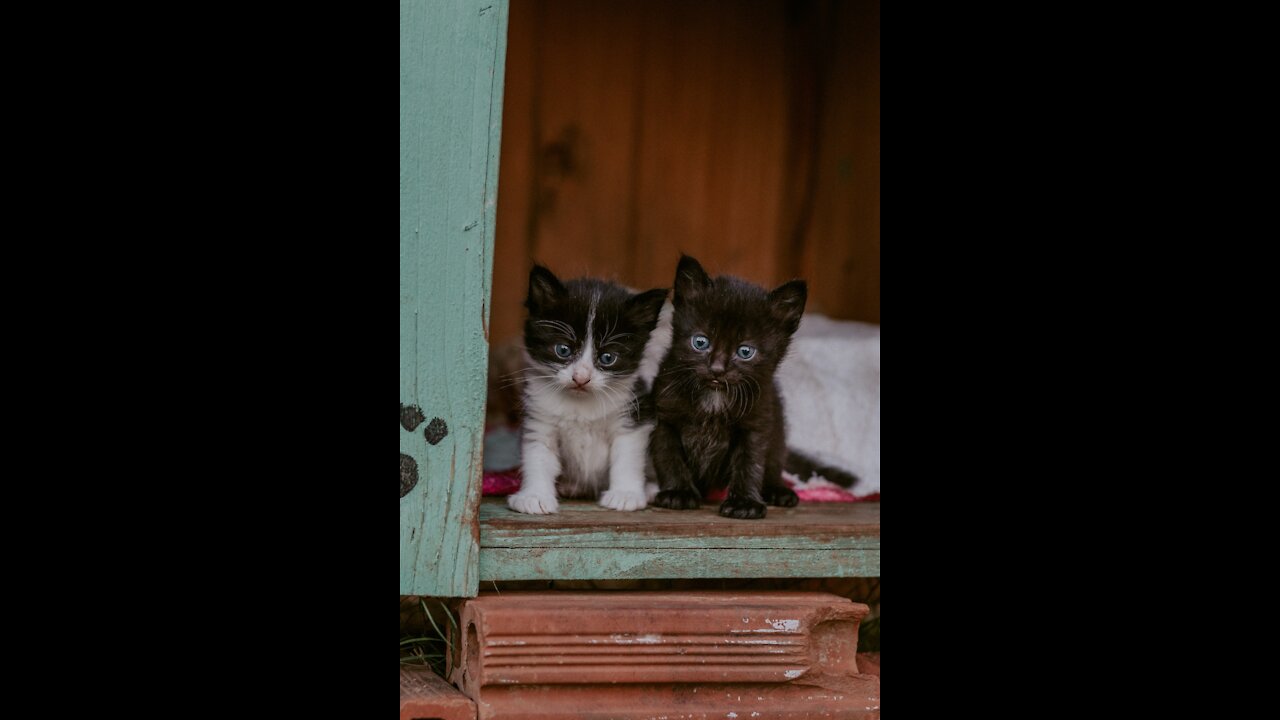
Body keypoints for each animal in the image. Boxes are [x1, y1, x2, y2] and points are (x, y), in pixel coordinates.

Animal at [506, 266, 675, 512]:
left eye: (607, 357)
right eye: (563, 350)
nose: (581, 378)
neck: (580, 404)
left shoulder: (633, 414)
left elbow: (627, 457)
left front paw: (625, 494)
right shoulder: (540, 419)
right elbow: (538, 455)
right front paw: (534, 496)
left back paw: (651, 488)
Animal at [650, 254, 808, 517]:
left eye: (745, 351)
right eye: (700, 342)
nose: (717, 369)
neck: (714, 398)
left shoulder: (756, 424)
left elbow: (749, 463)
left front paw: (744, 503)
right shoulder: (664, 417)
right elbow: (668, 455)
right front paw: (678, 492)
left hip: (778, 430)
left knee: (774, 461)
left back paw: (777, 490)